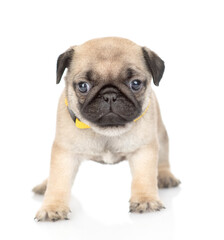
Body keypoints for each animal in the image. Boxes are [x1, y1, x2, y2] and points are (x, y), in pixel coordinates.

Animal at [33, 36, 180, 222]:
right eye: (83, 86)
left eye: (135, 84)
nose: (110, 95)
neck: (108, 132)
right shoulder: (64, 153)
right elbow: (58, 181)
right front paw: (53, 207)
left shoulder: (143, 150)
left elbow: (144, 177)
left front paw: (145, 200)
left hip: (160, 133)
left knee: (162, 158)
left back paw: (165, 176)